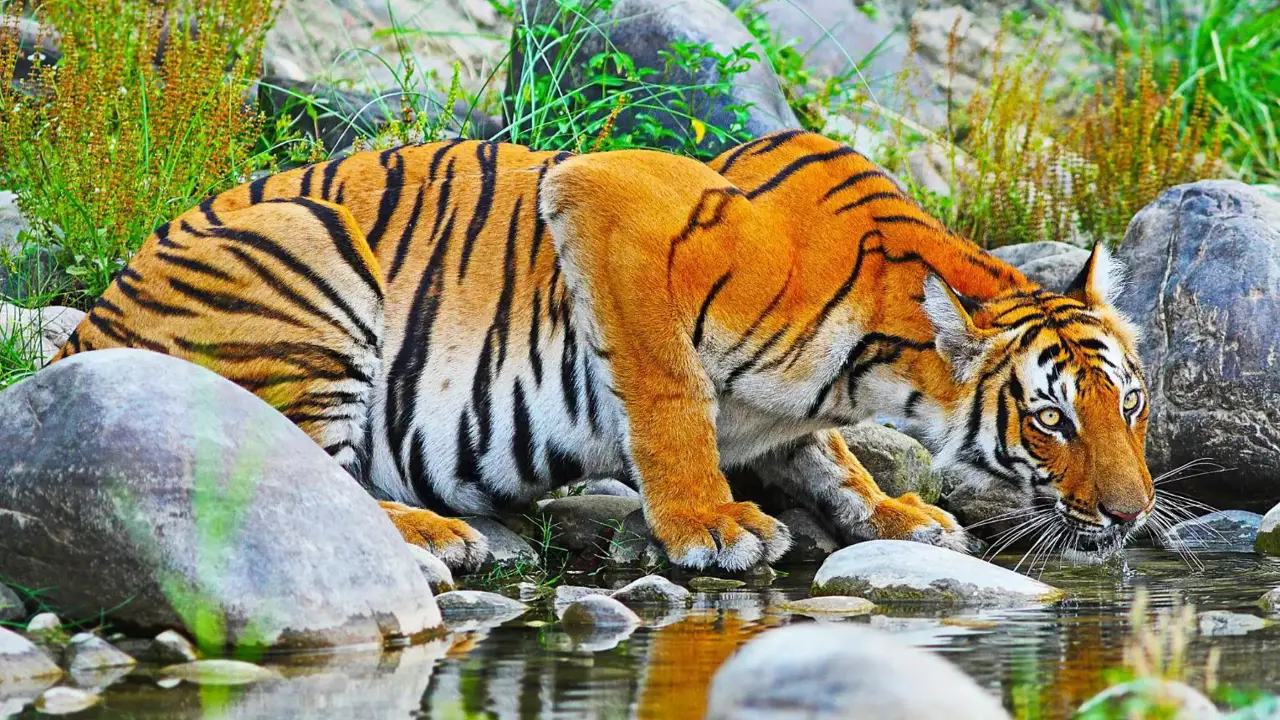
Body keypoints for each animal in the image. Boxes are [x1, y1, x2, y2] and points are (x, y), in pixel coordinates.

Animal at [51, 130, 1155, 571]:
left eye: (1130, 406)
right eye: (1050, 418)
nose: (1132, 514)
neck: (873, 367)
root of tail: (92, 327)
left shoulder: (799, 416)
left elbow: (828, 455)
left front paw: (894, 510)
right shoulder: (608, 200)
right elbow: (669, 398)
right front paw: (712, 524)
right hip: (305, 246)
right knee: (305, 477)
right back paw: (432, 535)